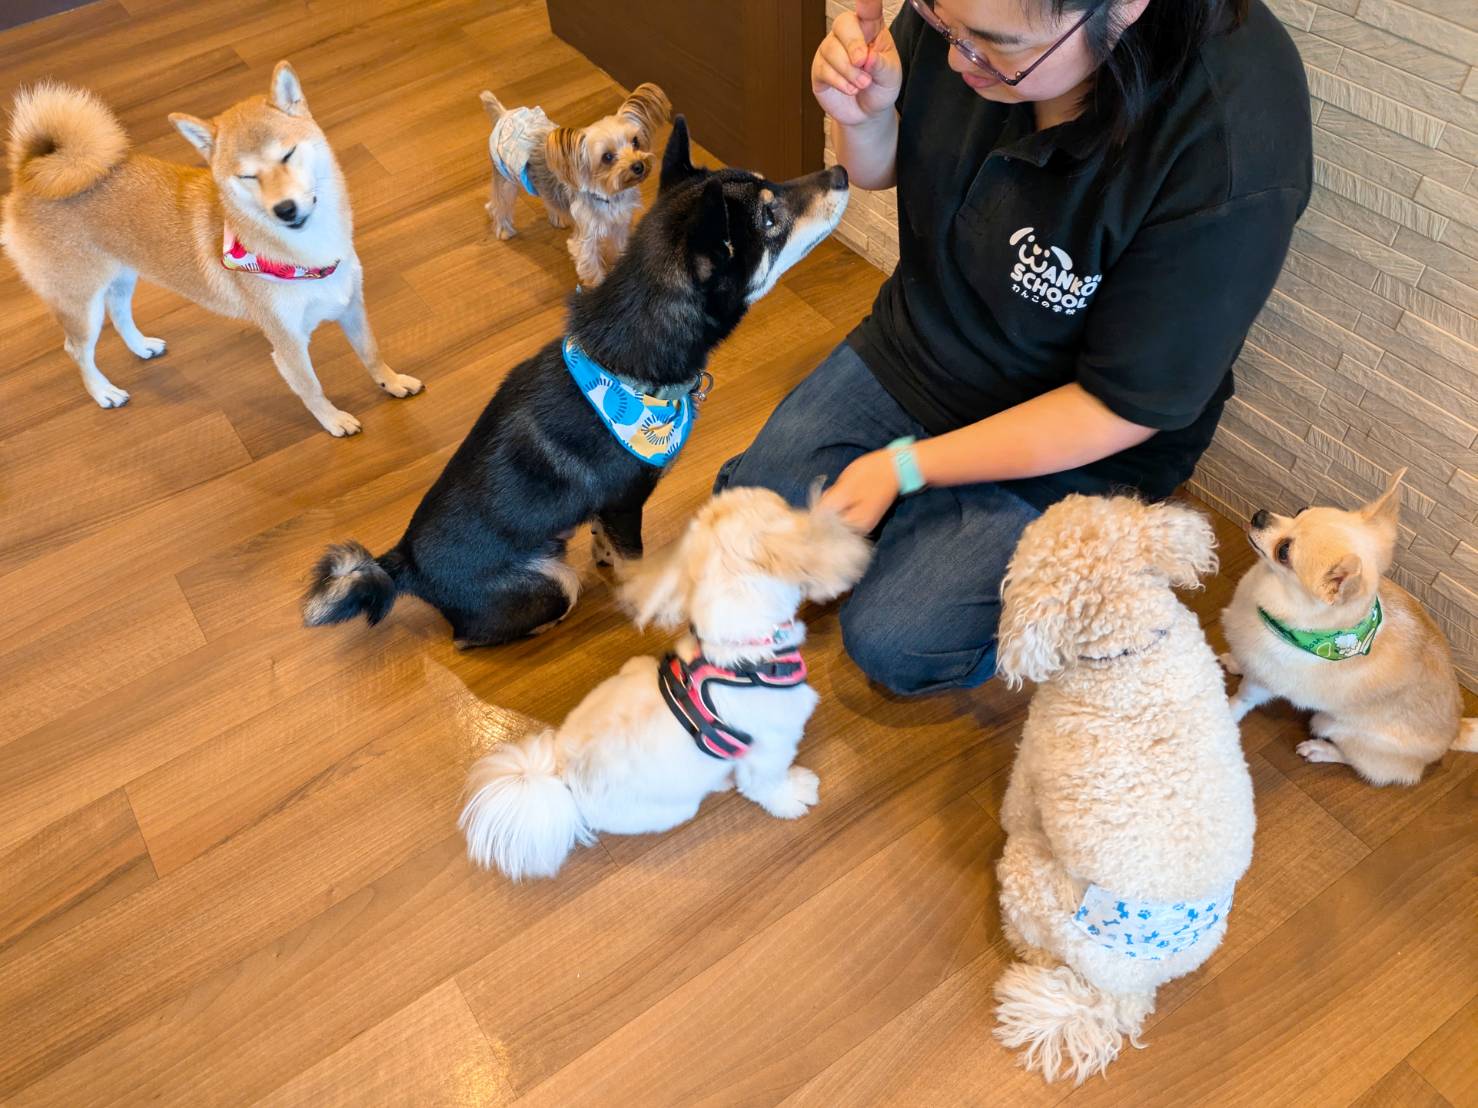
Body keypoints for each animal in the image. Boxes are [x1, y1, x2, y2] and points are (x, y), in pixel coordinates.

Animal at [1, 65, 420, 436]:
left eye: (287, 155)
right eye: (247, 176)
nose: (284, 209)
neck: (305, 256)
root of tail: (27, 177)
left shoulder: (350, 305)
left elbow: (372, 353)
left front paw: (394, 382)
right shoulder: (288, 344)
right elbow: (312, 388)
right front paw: (333, 421)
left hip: (123, 275)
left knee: (119, 314)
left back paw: (141, 346)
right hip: (80, 303)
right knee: (77, 349)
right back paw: (103, 391)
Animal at [301, 118, 849, 648]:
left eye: (770, 182)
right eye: (770, 220)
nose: (841, 172)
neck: (622, 365)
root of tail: (406, 566)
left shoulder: (610, 513)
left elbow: (610, 547)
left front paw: (608, 563)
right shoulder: (624, 504)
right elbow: (635, 560)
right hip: (551, 583)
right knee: (475, 636)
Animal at [457, 486, 871, 880]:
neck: (738, 654)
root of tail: (562, 776)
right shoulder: (770, 749)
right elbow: (767, 786)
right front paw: (795, 794)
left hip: (635, 668)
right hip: (677, 807)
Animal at [480, 82, 671, 287]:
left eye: (635, 142)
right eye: (607, 157)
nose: (638, 166)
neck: (609, 195)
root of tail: (504, 114)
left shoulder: (619, 226)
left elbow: (619, 249)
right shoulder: (585, 241)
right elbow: (592, 268)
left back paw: (557, 217)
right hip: (505, 177)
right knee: (499, 204)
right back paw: (503, 229)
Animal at [1221, 469, 1476, 786]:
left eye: (1284, 552)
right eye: (1300, 510)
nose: (1259, 515)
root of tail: (1455, 732)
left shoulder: (1264, 684)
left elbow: (1243, 697)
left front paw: (1225, 714)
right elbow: (1247, 661)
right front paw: (1236, 662)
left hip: (1331, 724)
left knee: (1360, 763)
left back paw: (1321, 750)